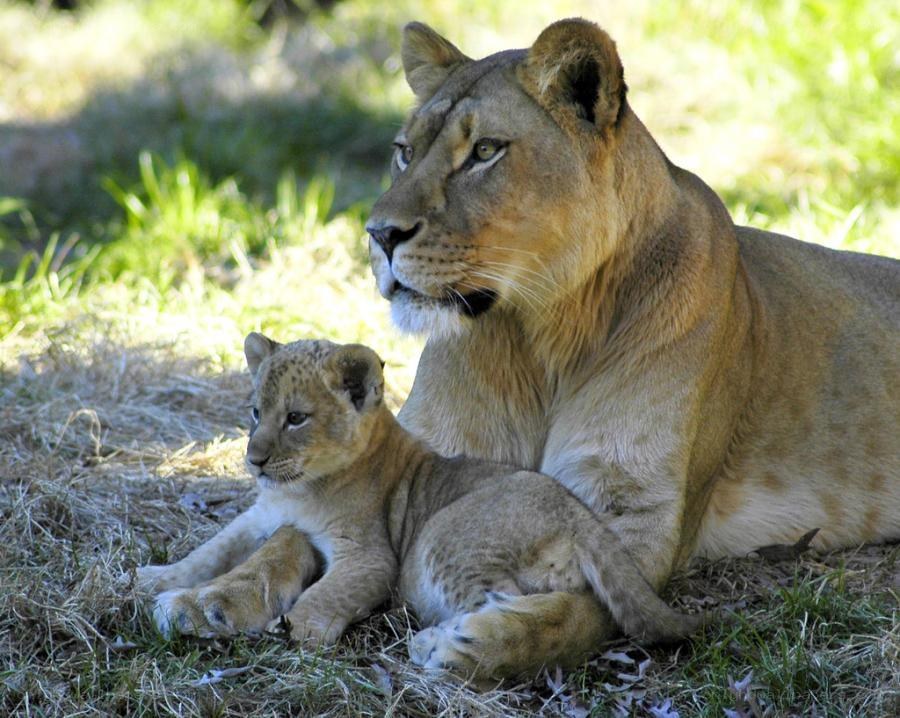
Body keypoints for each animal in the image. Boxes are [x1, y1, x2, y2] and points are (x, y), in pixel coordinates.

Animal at [138, 334, 701, 678]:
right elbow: (212, 551)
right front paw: (155, 579)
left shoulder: (371, 556)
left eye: (296, 418)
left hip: (440, 539)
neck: (298, 490)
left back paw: (446, 644)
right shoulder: (262, 517)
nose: (253, 460)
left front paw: (303, 630)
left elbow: (324, 594)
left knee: (517, 603)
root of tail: (582, 517)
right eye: (256, 412)